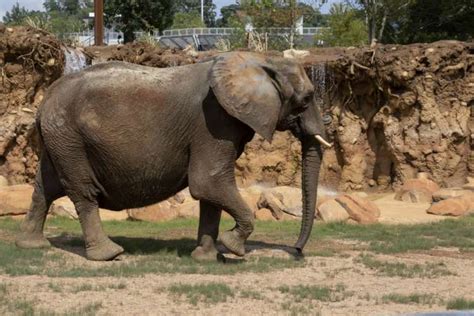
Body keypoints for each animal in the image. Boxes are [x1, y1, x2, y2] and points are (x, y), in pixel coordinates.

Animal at [14, 51, 328, 260]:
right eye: (307, 99)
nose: (297, 251)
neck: (260, 61)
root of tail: (44, 101)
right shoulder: (214, 122)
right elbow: (208, 182)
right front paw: (233, 247)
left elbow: (210, 190)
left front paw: (206, 258)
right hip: (70, 137)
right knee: (82, 191)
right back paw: (110, 255)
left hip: (60, 138)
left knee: (45, 187)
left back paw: (33, 246)